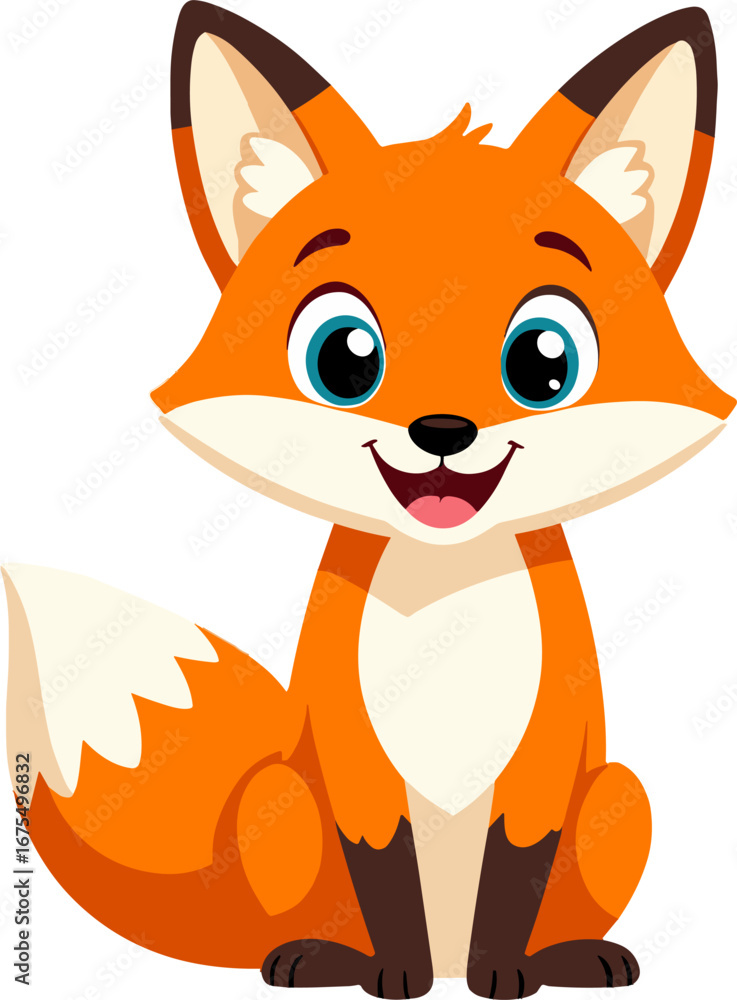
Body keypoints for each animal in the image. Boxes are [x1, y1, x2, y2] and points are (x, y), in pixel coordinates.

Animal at [4, 3, 735, 998]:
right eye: (344, 357)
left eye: (544, 360)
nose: (442, 430)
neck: (444, 595)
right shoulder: (354, 766)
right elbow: (383, 868)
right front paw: (399, 973)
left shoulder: (542, 766)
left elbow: (516, 868)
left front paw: (502, 969)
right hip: (278, 797)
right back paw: (318, 956)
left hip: (622, 793)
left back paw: (572, 955)